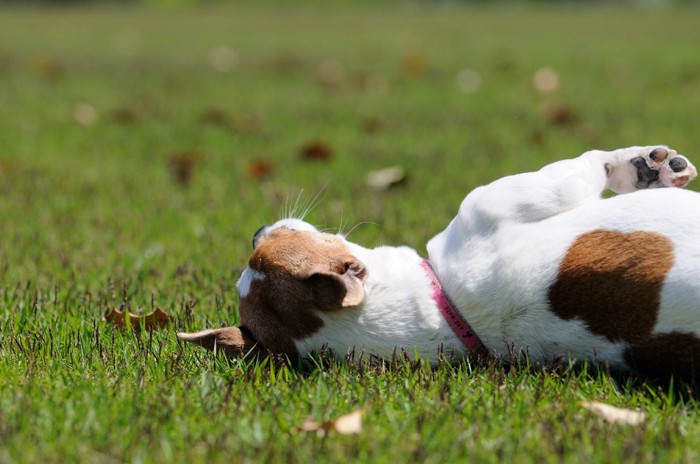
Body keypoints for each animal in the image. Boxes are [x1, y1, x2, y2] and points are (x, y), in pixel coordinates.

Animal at [178, 146, 700, 380]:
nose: (256, 230)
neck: (446, 309)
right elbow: (593, 163)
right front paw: (642, 166)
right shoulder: (520, 195)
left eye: (268, 247)